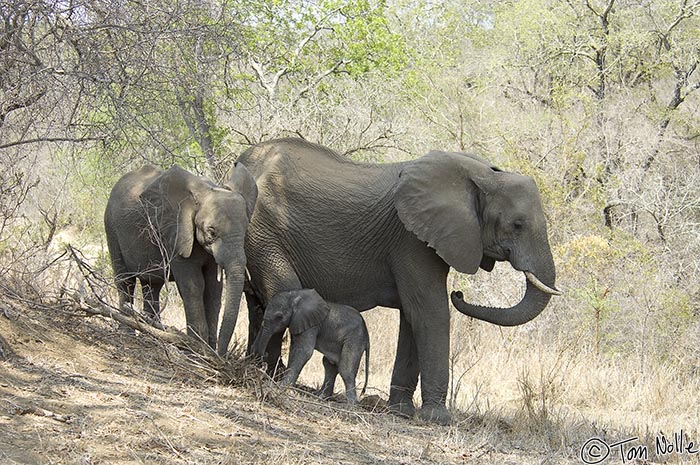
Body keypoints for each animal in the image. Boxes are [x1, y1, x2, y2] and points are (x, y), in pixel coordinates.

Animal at [104, 163, 258, 356]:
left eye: (245, 230)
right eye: (211, 232)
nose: (219, 355)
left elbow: (213, 288)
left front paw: (206, 350)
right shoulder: (177, 233)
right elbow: (194, 285)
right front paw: (197, 351)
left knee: (152, 285)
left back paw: (152, 333)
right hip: (111, 227)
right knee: (126, 280)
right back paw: (128, 333)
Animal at [238, 136, 560, 422]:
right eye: (517, 225)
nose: (459, 294)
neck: (483, 175)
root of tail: (245, 160)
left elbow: (412, 316)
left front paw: (402, 412)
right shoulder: (410, 239)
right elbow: (431, 313)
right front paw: (436, 419)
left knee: (258, 299)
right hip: (264, 228)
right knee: (283, 292)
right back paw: (272, 374)